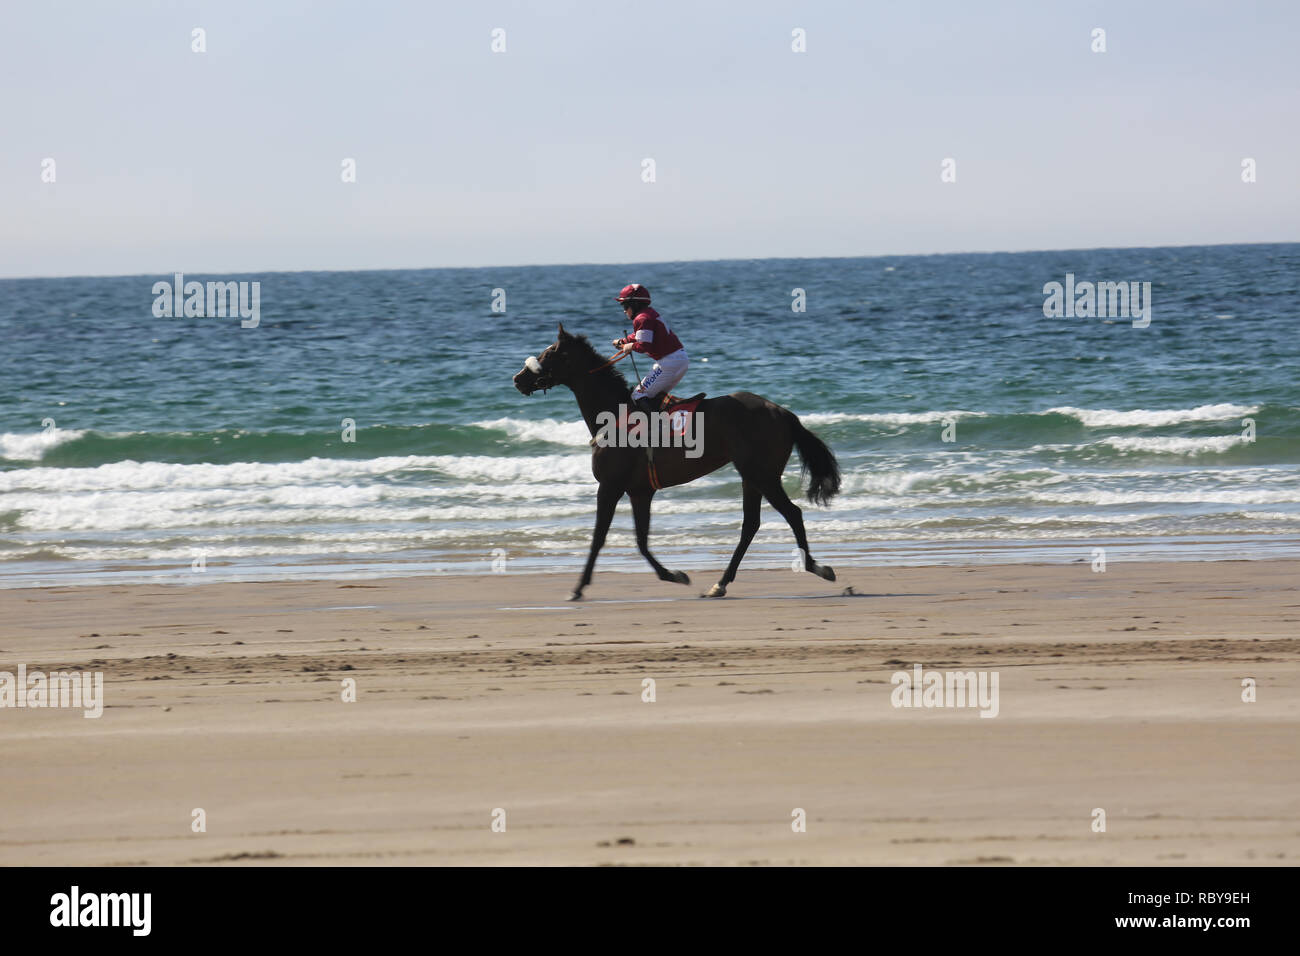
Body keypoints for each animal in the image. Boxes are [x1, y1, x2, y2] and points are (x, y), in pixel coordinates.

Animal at [512, 325, 847, 600]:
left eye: (550, 353)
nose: (518, 379)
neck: (613, 415)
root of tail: (782, 412)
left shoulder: (609, 487)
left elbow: (599, 538)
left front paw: (578, 588)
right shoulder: (639, 492)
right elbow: (641, 540)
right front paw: (673, 574)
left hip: (762, 474)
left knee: (792, 513)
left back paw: (816, 567)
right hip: (750, 476)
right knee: (751, 524)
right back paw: (720, 583)